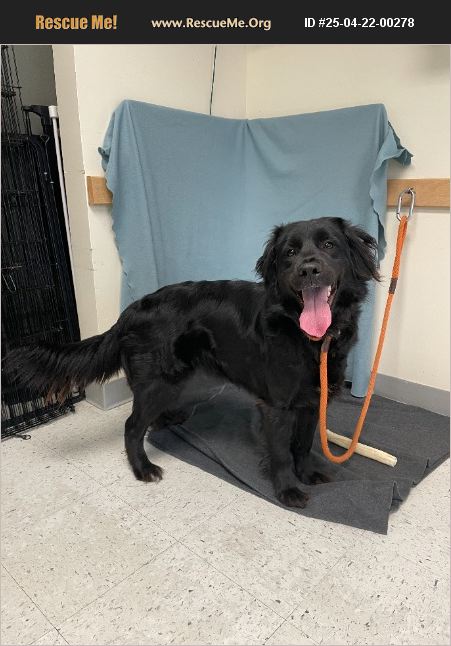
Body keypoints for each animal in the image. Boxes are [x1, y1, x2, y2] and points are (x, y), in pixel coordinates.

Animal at [4, 217, 379, 507]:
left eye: (329, 245)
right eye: (289, 253)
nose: (309, 269)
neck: (310, 337)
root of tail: (130, 312)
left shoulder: (313, 400)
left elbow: (302, 444)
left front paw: (308, 473)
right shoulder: (276, 405)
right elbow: (282, 452)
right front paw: (287, 489)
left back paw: (168, 420)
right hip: (159, 381)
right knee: (132, 426)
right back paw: (142, 468)